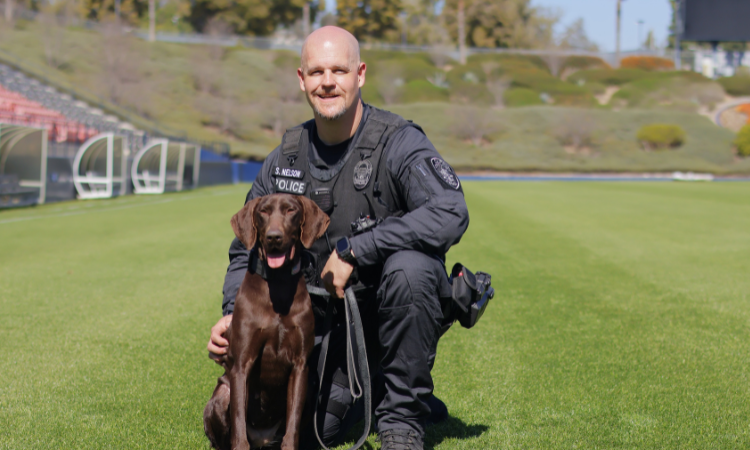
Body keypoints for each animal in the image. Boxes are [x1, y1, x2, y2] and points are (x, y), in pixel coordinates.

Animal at [203, 193, 328, 450]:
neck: (278, 284)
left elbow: (293, 426)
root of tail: (262, 440)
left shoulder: (300, 366)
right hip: (222, 395)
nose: (273, 237)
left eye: (291, 210)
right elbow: (239, 424)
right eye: (263, 212)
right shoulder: (242, 364)